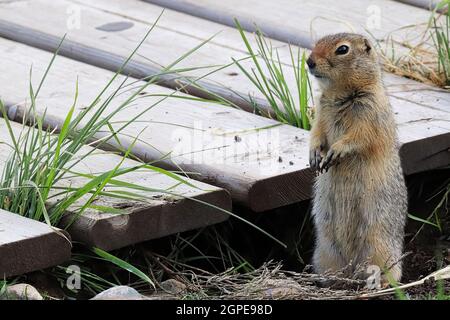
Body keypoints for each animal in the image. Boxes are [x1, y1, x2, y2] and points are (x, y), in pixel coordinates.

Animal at [306, 32, 408, 282]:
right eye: (318, 41)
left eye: (343, 49)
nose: (309, 61)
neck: (339, 93)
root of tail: (352, 268)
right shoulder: (320, 114)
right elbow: (316, 133)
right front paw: (315, 155)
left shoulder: (369, 112)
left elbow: (359, 136)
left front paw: (336, 151)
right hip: (325, 249)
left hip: (379, 246)